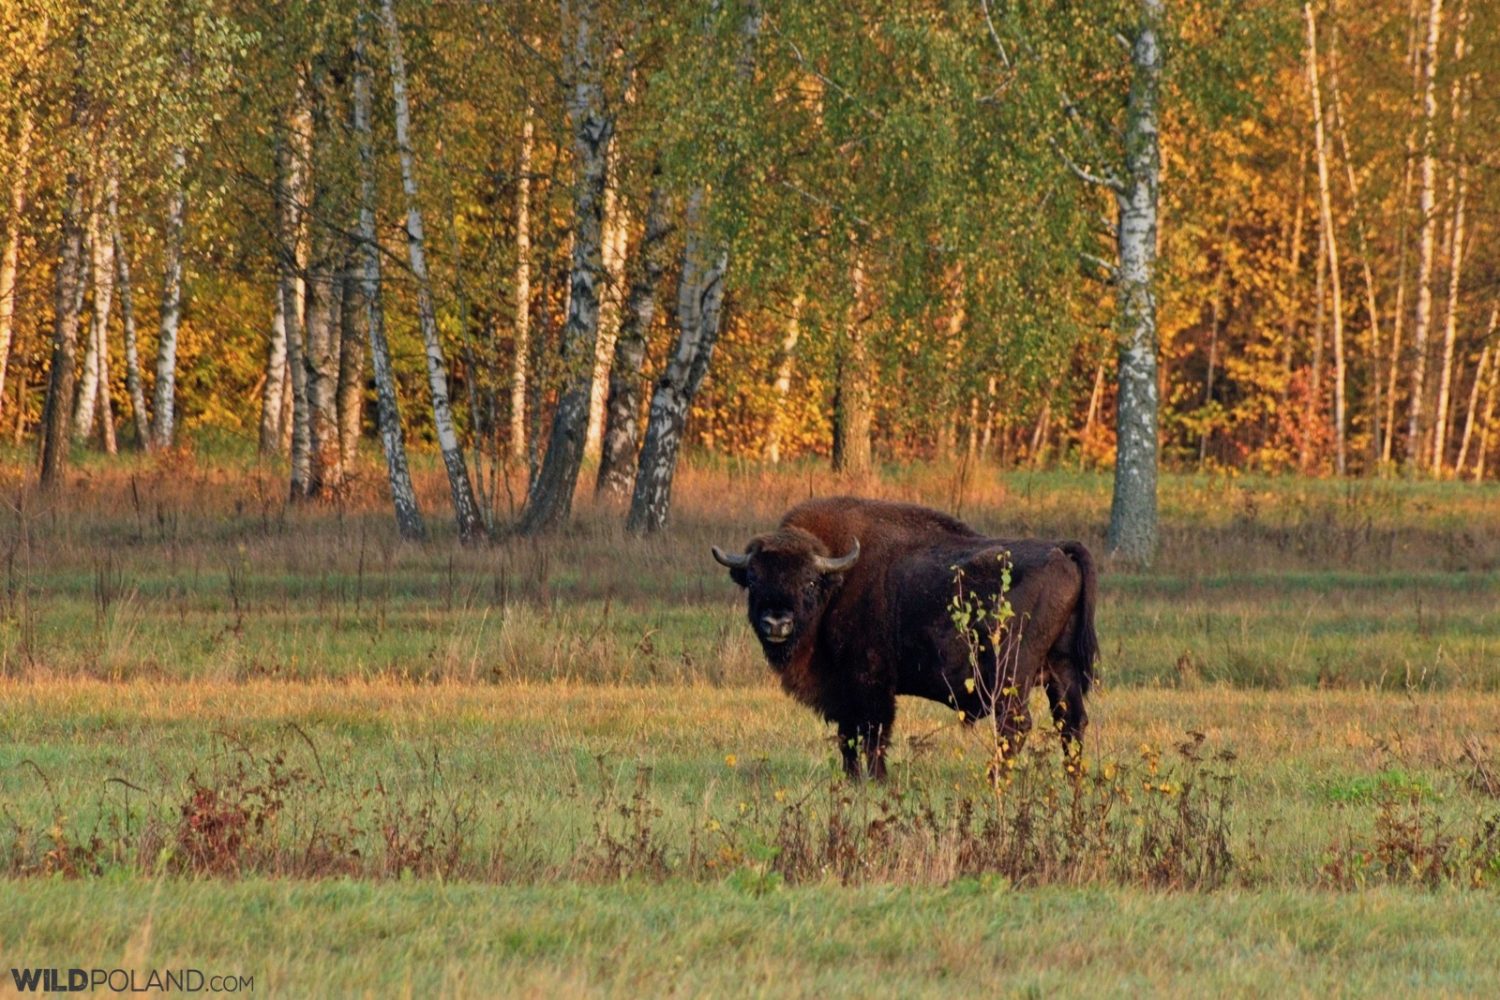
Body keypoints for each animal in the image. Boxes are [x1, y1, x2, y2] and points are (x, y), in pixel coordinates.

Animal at [708, 497, 1098, 779]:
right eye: (754, 578)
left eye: (809, 581)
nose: (777, 623)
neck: (838, 582)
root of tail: (1061, 551)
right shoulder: (844, 692)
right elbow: (848, 735)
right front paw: (852, 779)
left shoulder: (870, 682)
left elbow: (873, 733)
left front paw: (876, 779)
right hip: (1060, 670)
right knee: (1071, 721)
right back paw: (1072, 780)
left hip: (1011, 673)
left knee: (1016, 724)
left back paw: (994, 780)